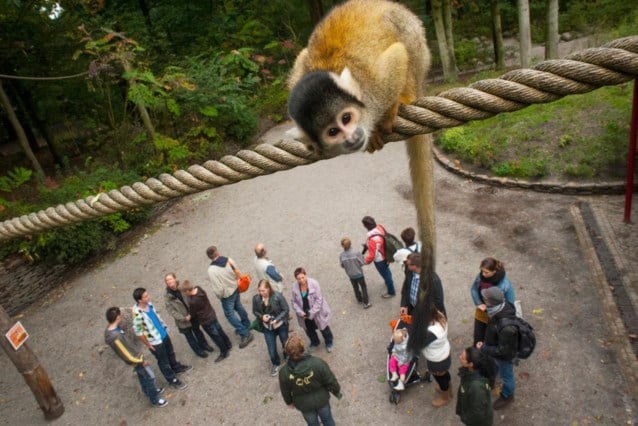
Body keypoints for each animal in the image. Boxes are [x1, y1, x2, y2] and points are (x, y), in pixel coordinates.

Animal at [290, 0, 440, 352]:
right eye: (332, 131)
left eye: (347, 118)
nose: (352, 136)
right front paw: (310, 143)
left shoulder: (375, 86)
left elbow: (396, 57)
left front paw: (389, 112)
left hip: (418, 53)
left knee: (407, 43)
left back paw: (405, 98)